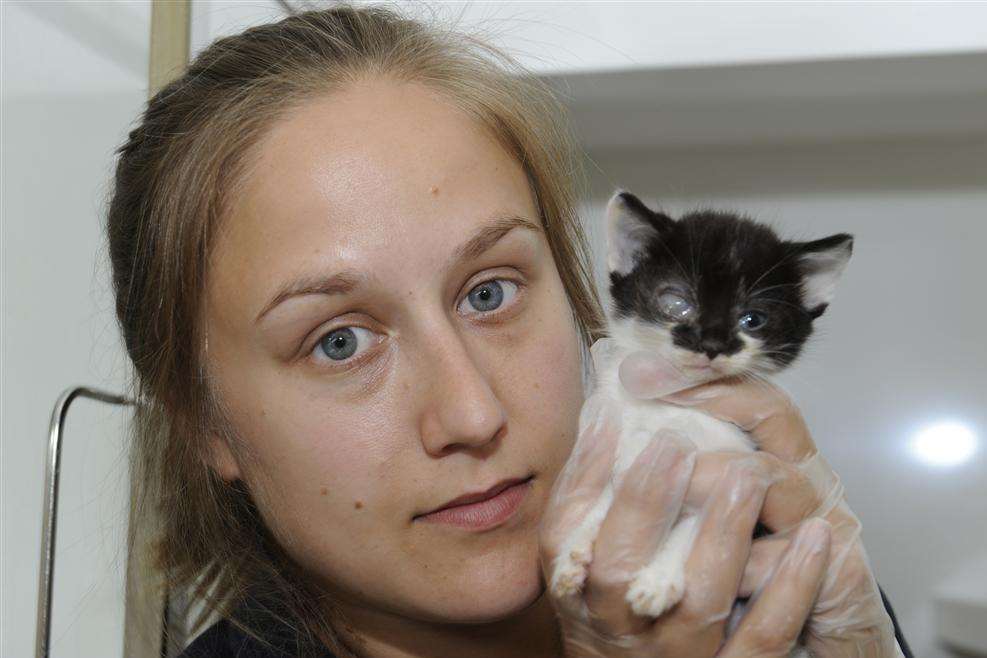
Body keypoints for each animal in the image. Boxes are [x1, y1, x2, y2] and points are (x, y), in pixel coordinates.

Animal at [552, 190, 852, 644]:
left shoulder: (738, 459)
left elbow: (702, 519)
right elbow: (612, 488)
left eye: (753, 319)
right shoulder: (624, 431)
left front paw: (659, 580)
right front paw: (577, 546)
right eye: (677, 303)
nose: (711, 343)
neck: (675, 407)